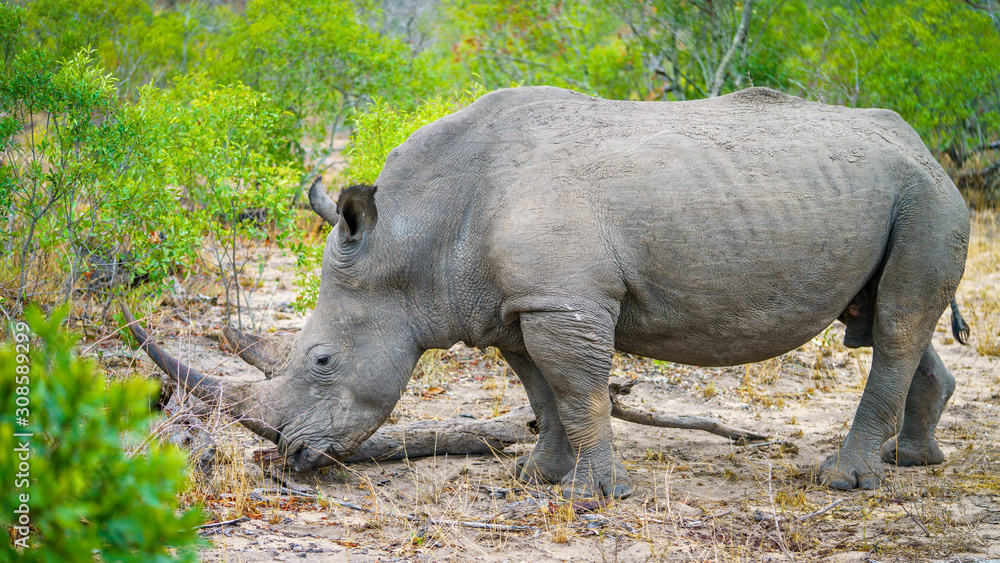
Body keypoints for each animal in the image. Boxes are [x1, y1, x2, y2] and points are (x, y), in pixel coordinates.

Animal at [126, 86, 970, 499]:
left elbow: (579, 388)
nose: (289, 455)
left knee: (896, 325)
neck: (416, 236)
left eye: (323, 360)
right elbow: (542, 388)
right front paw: (537, 475)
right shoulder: (514, 303)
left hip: (926, 197)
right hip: (901, 192)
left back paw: (846, 481)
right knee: (891, 320)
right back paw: (912, 461)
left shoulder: (563, 302)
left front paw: (590, 497)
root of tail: (929, 150)